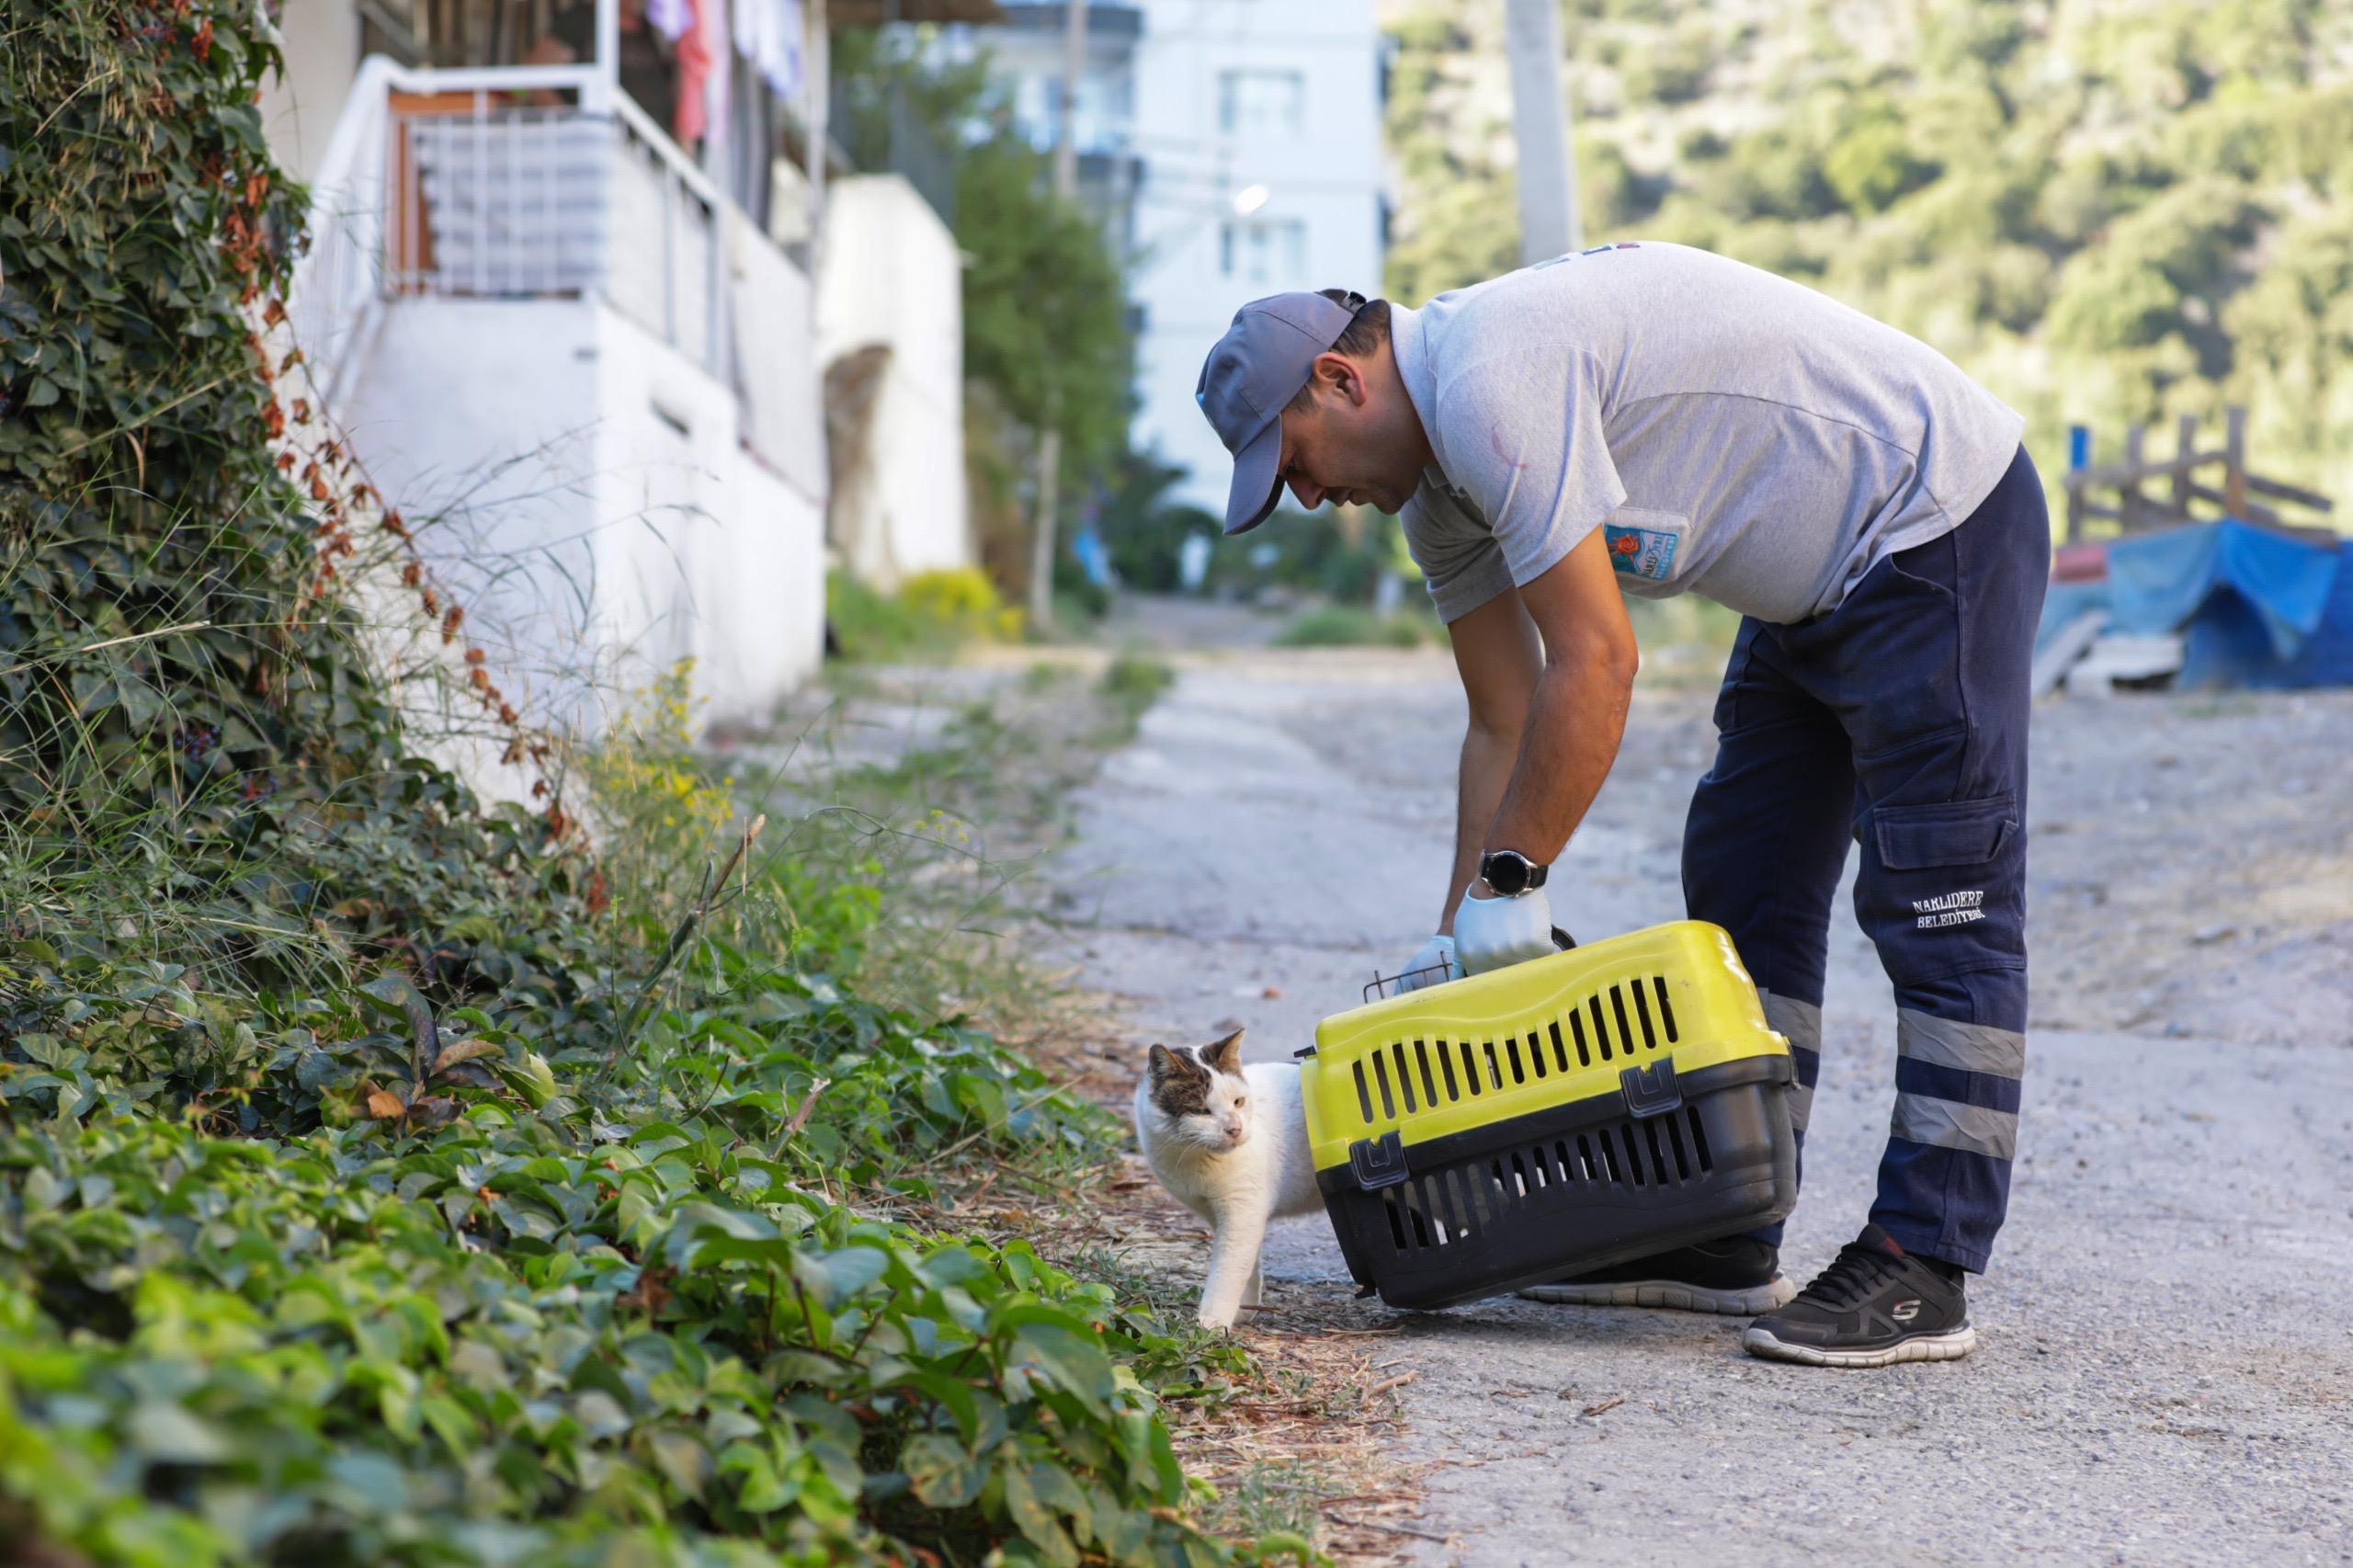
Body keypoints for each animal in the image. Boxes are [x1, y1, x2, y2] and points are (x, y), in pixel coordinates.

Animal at [1124, 1030, 1326, 1327]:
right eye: (1202, 1110)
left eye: (1238, 1102)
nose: (1235, 1129)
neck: (1193, 1159)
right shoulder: (1218, 1214)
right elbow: (1247, 1266)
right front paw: (1244, 1309)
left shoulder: (1242, 1213)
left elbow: (1227, 1272)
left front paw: (1212, 1323)